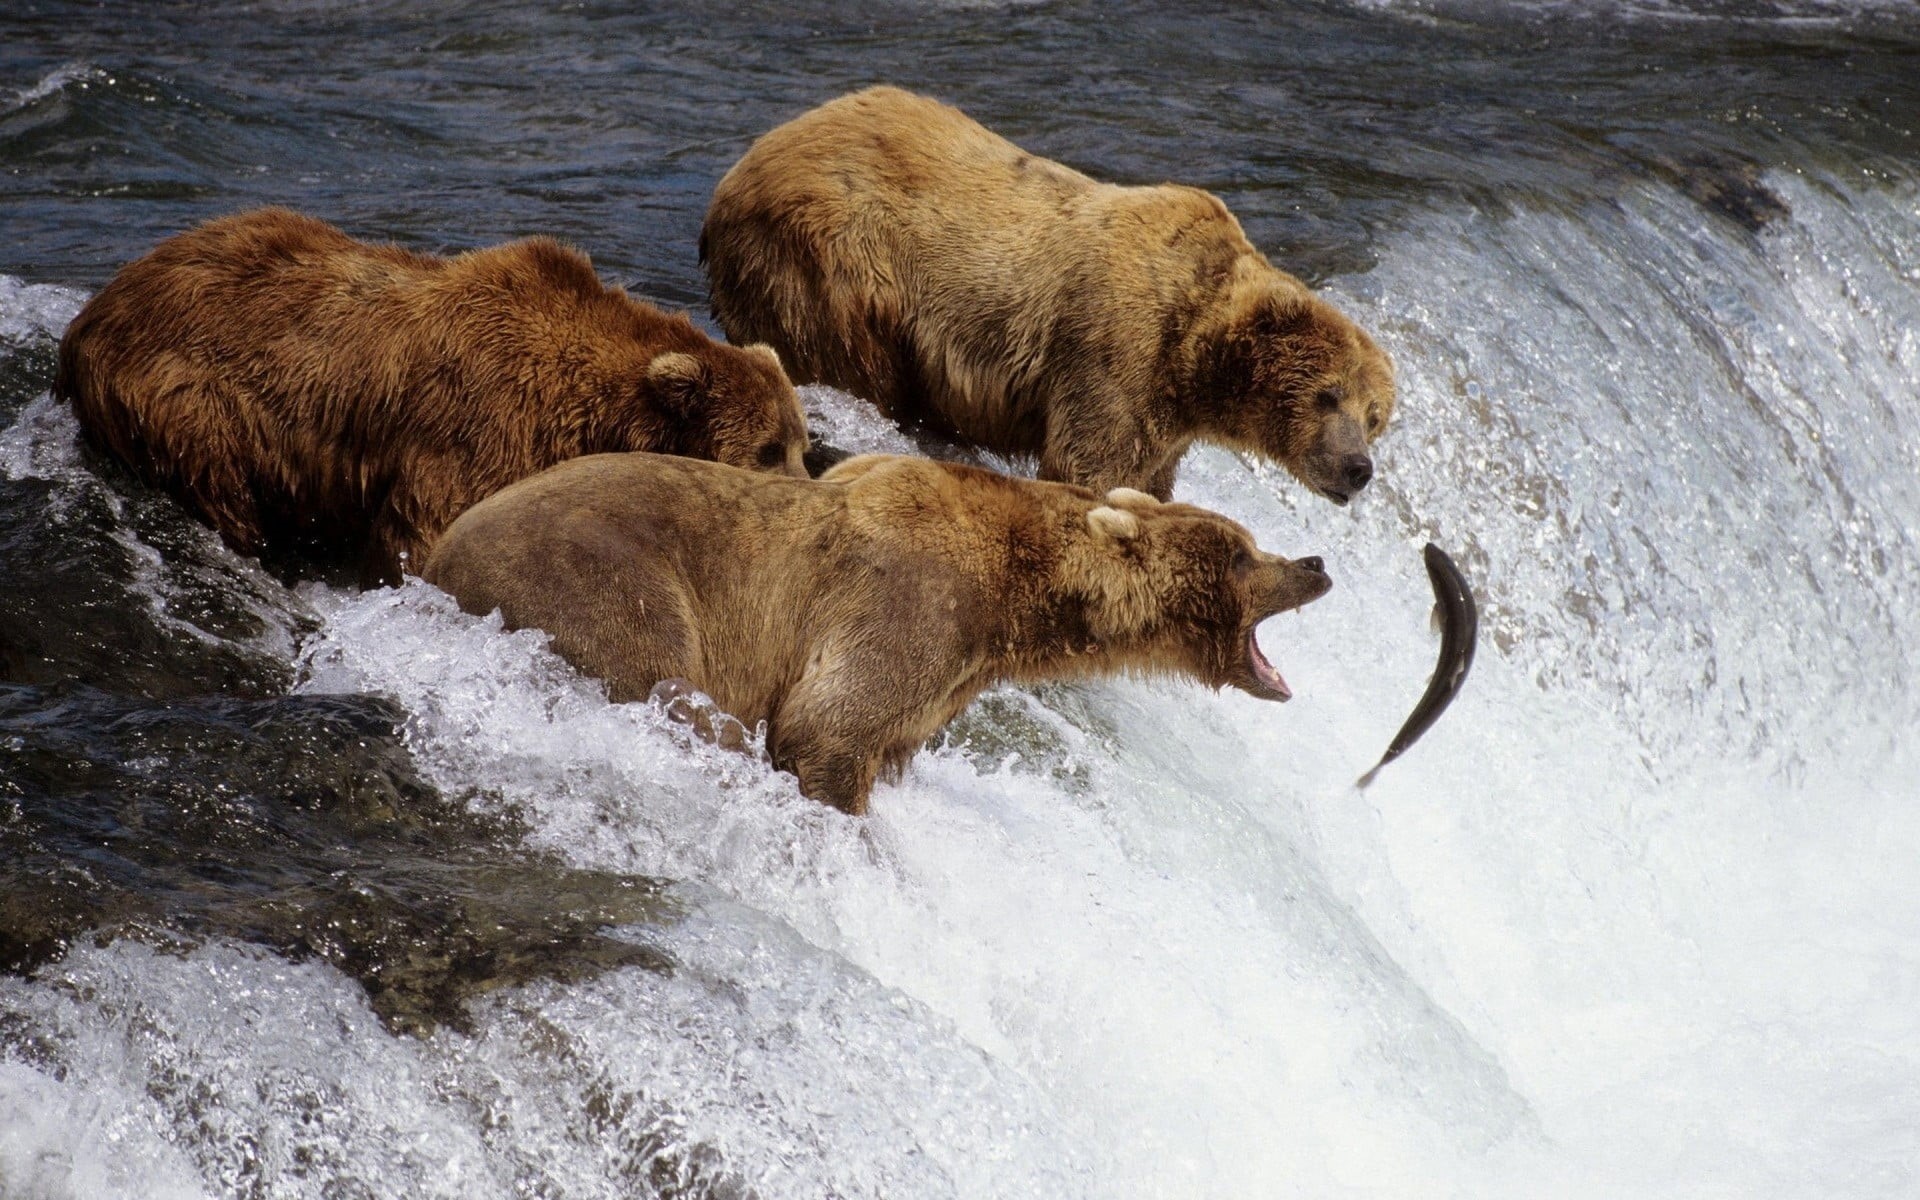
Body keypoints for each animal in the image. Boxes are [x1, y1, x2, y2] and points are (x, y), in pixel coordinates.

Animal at [57, 207, 811, 584]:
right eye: (766, 449)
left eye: (802, 445)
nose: (807, 494)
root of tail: (92, 313)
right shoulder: (476, 428)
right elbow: (426, 534)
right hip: (188, 396)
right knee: (219, 484)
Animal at [422, 450, 1332, 814]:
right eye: (1243, 551)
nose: (1316, 562)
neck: (1019, 597)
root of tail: (435, 557)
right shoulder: (909, 603)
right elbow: (827, 724)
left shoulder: (948, 674)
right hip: (602, 578)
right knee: (668, 681)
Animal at [699, 85, 1396, 505]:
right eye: (1327, 394)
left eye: (1374, 417)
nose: (1358, 468)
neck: (1194, 357)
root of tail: (741, 168)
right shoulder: (1116, 353)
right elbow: (1091, 467)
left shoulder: (1166, 419)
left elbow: (1149, 479)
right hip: (833, 261)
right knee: (850, 360)